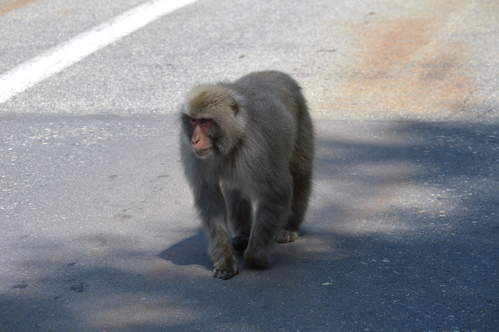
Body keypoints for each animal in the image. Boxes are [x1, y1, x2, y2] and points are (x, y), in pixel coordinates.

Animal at [178, 70, 314, 280]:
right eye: (193, 120)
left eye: (205, 121)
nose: (195, 140)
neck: (233, 137)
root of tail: (277, 72)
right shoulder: (192, 153)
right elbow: (210, 198)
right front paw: (226, 261)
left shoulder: (257, 148)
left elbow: (276, 194)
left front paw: (256, 258)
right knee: (234, 188)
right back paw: (243, 236)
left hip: (302, 124)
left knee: (299, 173)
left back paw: (290, 228)